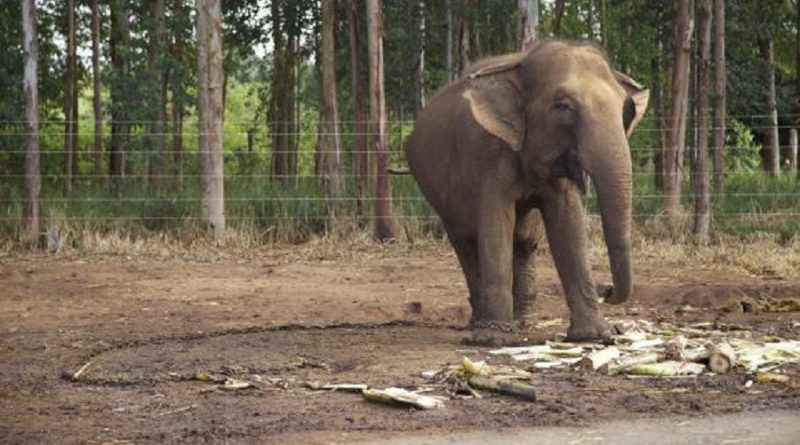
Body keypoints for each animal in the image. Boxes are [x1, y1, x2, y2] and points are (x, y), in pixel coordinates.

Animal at [405, 41, 649, 341]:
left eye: (623, 107)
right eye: (563, 106)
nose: (607, 289)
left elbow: (568, 223)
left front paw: (593, 335)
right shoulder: (488, 154)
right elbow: (496, 225)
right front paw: (493, 339)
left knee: (523, 241)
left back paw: (521, 323)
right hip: (440, 195)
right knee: (466, 243)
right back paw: (481, 324)